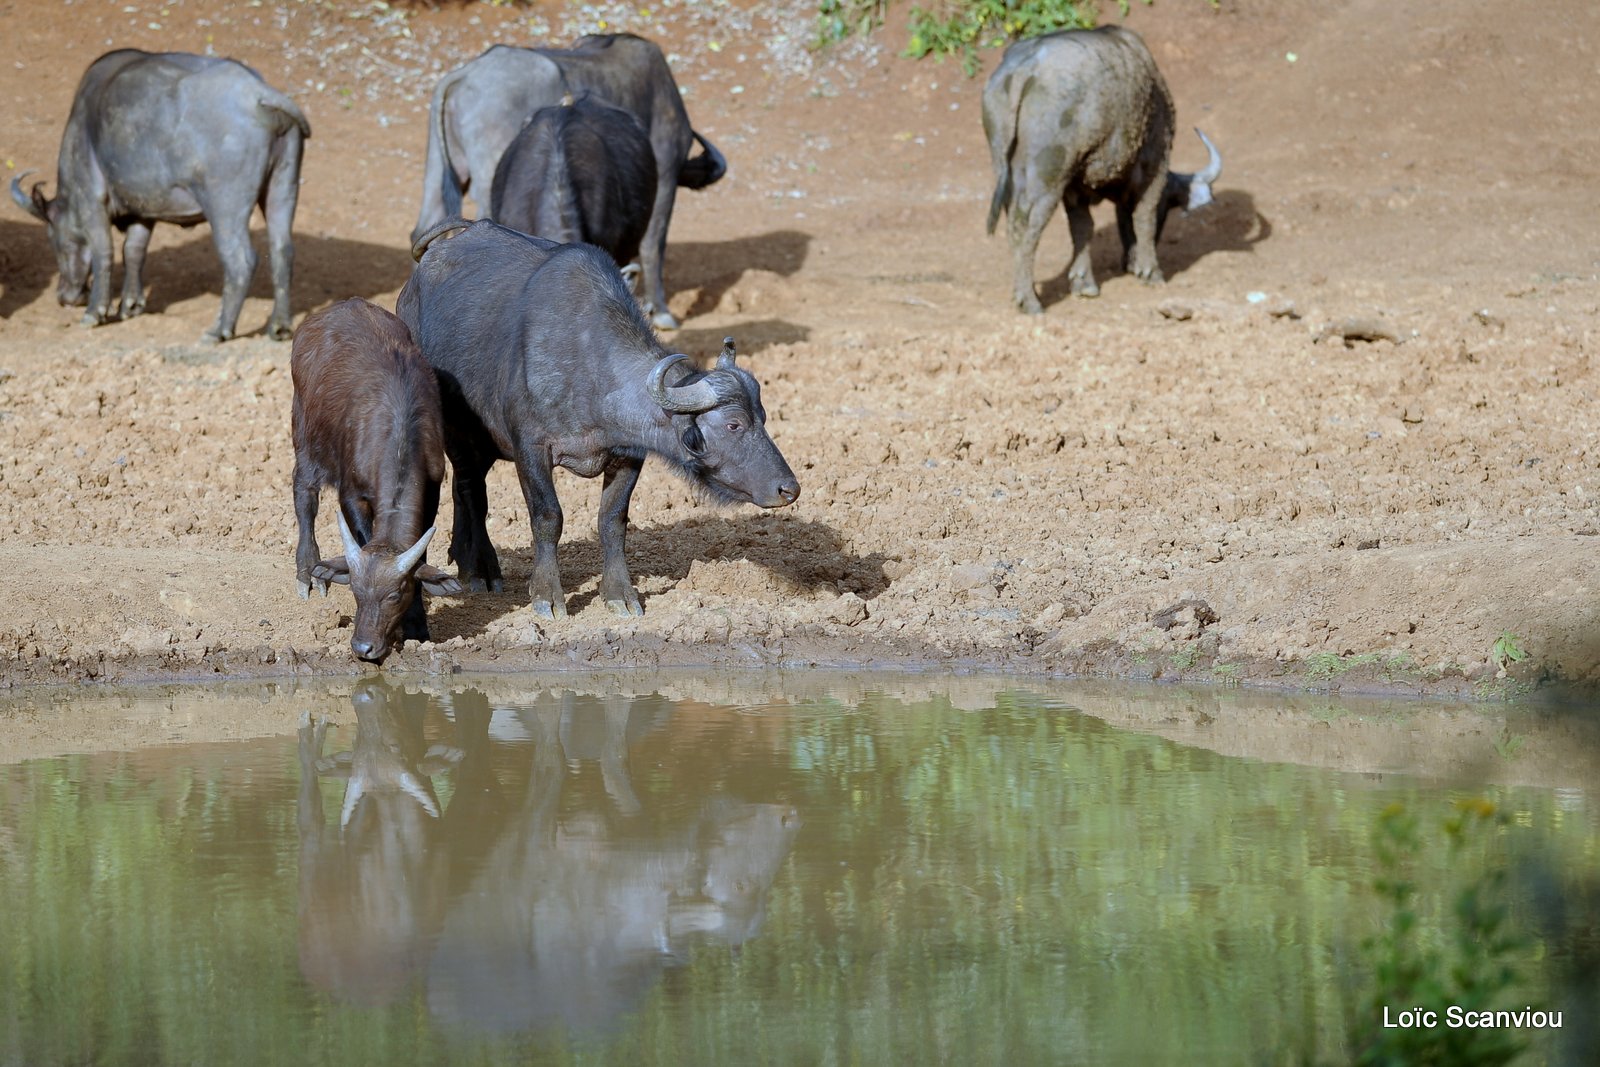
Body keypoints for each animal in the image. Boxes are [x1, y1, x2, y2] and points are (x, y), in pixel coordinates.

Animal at [11, 48, 312, 342]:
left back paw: (218, 330)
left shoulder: (90, 201)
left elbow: (103, 252)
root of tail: (258, 94)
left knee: (241, 261)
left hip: (225, 207)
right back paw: (279, 327)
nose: (65, 297)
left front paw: (95, 312)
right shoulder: (144, 210)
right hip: (282, 187)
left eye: (54, 241)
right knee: (283, 251)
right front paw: (130, 305)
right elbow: (134, 250)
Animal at [291, 294, 464, 659]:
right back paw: (307, 572)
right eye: (355, 590)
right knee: (304, 496)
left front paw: (416, 627)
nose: (363, 646)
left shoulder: (432, 489)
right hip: (303, 437)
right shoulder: (351, 494)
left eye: (396, 594)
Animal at [400, 220, 800, 620]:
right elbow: (548, 517)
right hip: (457, 432)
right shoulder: (531, 450)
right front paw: (547, 595)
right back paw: (480, 569)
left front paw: (620, 593)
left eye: (763, 417)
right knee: (471, 490)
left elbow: (612, 521)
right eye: (733, 424)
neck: (588, 366)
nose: (789, 490)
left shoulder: (629, 456)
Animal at [406, 34, 726, 329]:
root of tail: (463, 76)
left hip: (437, 172)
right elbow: (654, 245)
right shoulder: (667, 172)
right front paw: (661, 311)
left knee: (423, 227)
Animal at [972, 25, 1222, 313]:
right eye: (1164, 211)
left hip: (1007, 169)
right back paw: (1030, 300)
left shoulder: (1075, 187)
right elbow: (1143, 217)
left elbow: (1083, 227)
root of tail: (1024, 67)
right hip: (1047, 177)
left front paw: (1084, 283)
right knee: (1024, 226)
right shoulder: (1154, 167)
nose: (1131, 262)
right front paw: (1151, 272)